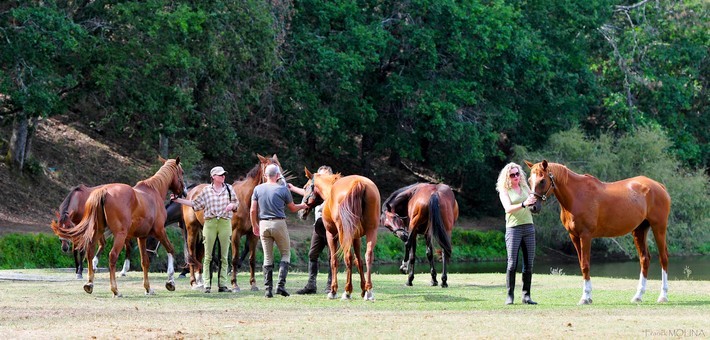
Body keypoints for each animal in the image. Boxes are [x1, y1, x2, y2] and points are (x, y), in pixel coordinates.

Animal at [52, 158, 186, 296]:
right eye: (182, 172)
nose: (184, 191)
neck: (153, 191)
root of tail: (104, 191)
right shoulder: (159, 231)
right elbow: (171, 250)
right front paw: (170, 281)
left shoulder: (142, 237)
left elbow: (145, 261)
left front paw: (148, 288)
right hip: (120, 235)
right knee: (112, 256)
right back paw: (115, 289)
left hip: (97, 232)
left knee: (90, 253)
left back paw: (90, 283)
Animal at [182, 155, 282, 290]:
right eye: (268, 169)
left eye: (280, 167)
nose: (280, 183)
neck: (245, 201)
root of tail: (191, 193)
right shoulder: (235, 234)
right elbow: (234, 259)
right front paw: (234, 284)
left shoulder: (253, 235)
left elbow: (252, 259)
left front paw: (253, 284)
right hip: (192, 230)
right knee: (191, 253)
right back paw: (193, 282)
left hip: (203, 232)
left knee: (200, 254)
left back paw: (200, 282)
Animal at [298, 169, 382, 302]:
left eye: (305, 187)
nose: (301, 212)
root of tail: (359, 183)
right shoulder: (356, 237)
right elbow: (359, 261)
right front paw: (363, 289)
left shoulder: (331, 235)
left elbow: (333, 260)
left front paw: (333, 291)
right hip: (371, 231)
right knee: (368, 256)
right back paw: (368, 291)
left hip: (343, 235)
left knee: (347, 257)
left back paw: (347, 291)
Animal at [524, 160, 672, 306]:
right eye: (530, 180)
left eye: (542, 181)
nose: (532, 206)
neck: (577, 195)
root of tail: (658, 186)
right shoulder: (574, 237)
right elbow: (582, 264)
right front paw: (588, 297)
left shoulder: (586, 236)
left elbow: (585, 265)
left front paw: (585, 297)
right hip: (639, 230)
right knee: (644, 259)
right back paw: (638, 296)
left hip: (659, 227)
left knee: (663, 258)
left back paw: (663, 296)